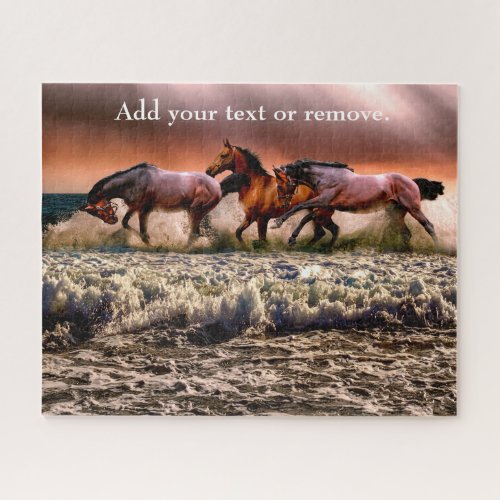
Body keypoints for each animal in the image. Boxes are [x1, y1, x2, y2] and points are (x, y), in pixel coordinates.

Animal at [79, 163, 221, 243]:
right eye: (94, 213)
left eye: (98, 209)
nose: (112, 220)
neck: (133, 182)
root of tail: (217, 186)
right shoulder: (134, 208)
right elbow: (125, 223)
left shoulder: (144, 210)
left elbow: (143, 233)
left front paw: (151, 243)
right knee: (196, 233)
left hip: (195, 211)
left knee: (193, 234)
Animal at [205, 140, 338, 245]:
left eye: (223, 155)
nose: (208, 171)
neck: (255, 185)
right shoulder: (249, 217)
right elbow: (238, 233)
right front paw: (244, 246)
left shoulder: (262, 219)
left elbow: (262, 240)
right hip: (320, 217)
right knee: (325, 232)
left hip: (320, 216)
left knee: (325, 232)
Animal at [274, 159, 446, 247]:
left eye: (280, 184)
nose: (283, 203)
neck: (327, 177)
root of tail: (412, 181)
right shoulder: (326, 205)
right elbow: (306, 217)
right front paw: (292, 238)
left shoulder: (323, 201)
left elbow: (299, 207)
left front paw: (278, 222)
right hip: (396, 213)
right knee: (406, 233)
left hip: (413, 208)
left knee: (428, 225)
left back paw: (439, 248)